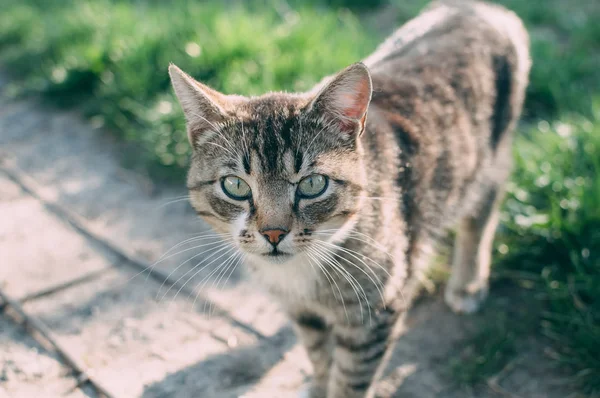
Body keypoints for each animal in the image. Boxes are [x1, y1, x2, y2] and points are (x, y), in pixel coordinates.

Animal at [168, 1, 528, 396]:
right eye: (235, 186)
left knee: (482, 212)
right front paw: (317, 384)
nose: (273, 233)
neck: (300, 274)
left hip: (491, 158)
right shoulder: (305, 314)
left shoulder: (371, 319)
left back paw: (467, 282)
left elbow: (349, 381)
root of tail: (479, 9)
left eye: (313, 184)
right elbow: (319, 358)